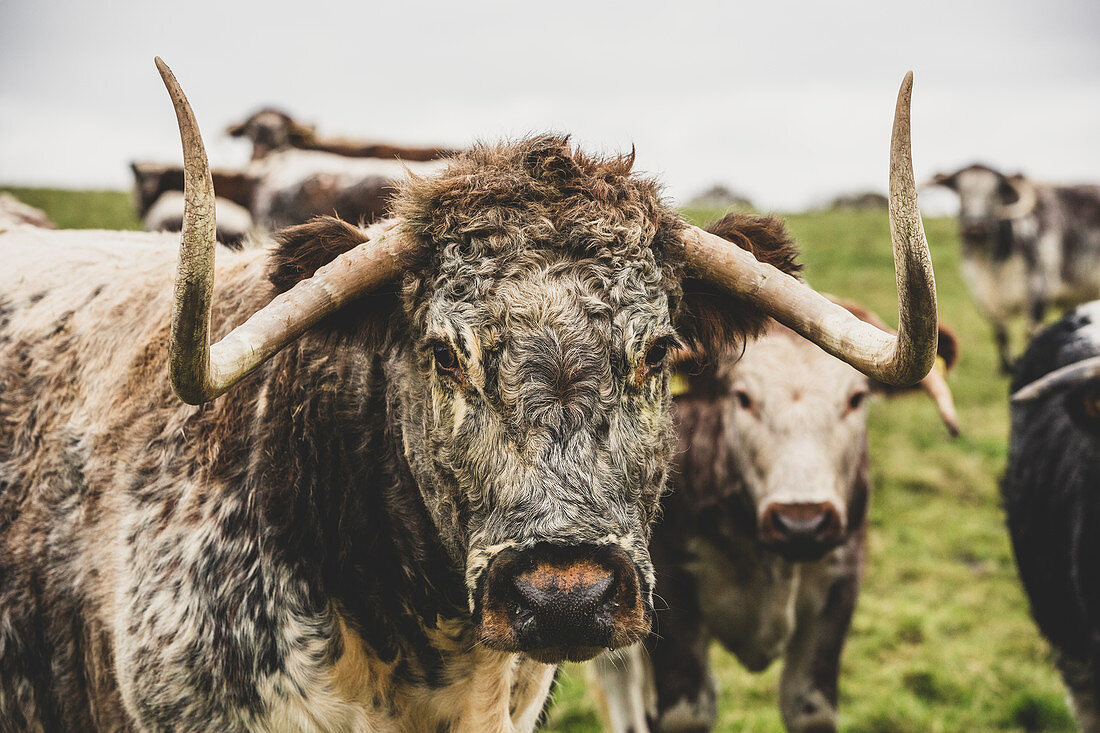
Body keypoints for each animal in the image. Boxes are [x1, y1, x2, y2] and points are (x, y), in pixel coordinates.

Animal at [589, 242, 959, 726]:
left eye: (856, 399)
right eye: (743, 398)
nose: (802, 523)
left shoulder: (839, 590)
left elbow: (809, 705)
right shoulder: (669, 599)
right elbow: (686, 707)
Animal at [928, 165, 1100, 372]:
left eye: (995, 192)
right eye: (960, 191)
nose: (975, 227)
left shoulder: (1038, 292)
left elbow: (1030, 331)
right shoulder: (985, 297)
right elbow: (1000, 333)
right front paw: (1006, 367)